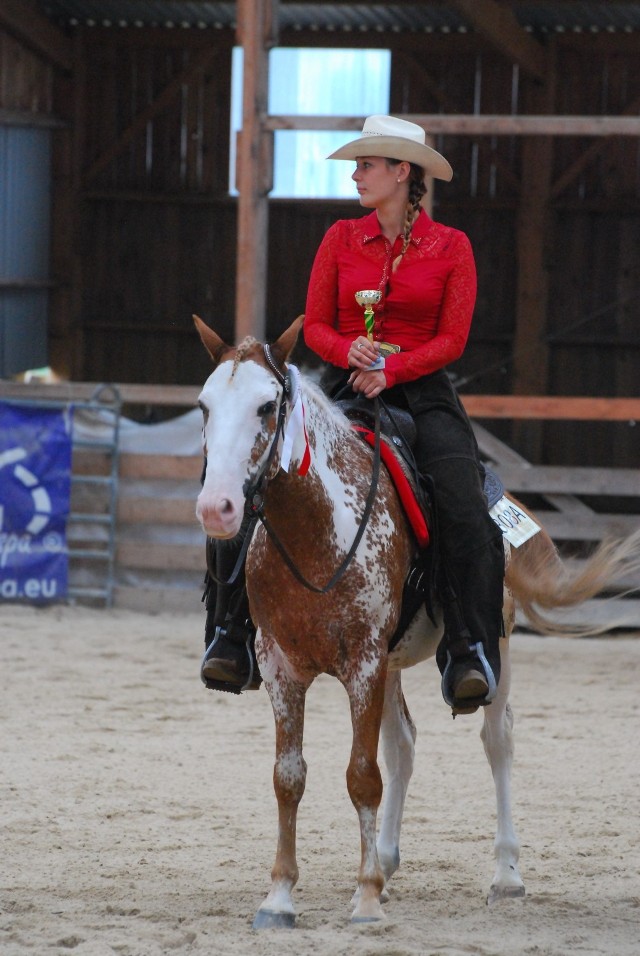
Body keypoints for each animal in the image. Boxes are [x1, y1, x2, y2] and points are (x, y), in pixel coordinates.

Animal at [194, 318, 636, 928]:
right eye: (205, 405)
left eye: (266, 406)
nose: (217, 508)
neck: (318, 529)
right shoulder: (283, 666)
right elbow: (290, 777)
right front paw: (281, 898)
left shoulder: (363, 662)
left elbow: (361, 776)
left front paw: (365, 901)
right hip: (395, 661)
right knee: (402, 745)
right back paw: (384, 862)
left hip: (491, 646)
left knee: (497, 739)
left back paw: (505, 875)